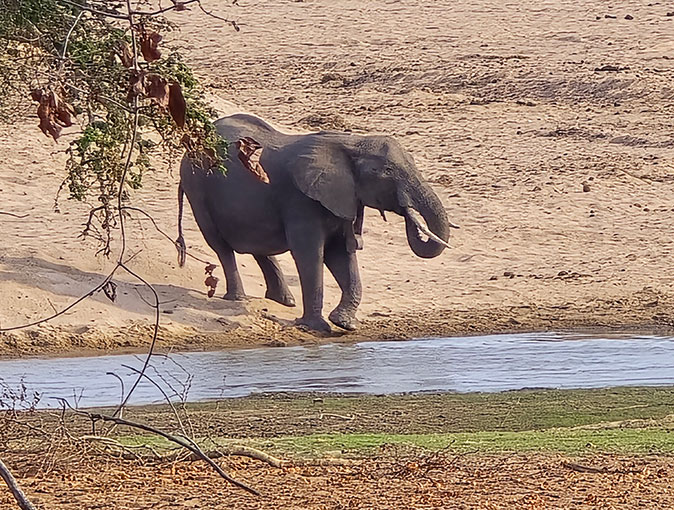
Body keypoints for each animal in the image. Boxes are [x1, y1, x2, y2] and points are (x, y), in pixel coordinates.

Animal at [177, 113, 455, 332]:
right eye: (386, 172)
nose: (408, 214)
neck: (351, 143)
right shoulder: (301, 200)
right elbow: (311, 254)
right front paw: (316, 328)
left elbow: (342, 255)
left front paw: (344, 324)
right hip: (196, 186)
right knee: (220, 246)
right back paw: (237, 299)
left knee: (258, 247)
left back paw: (284, 301)